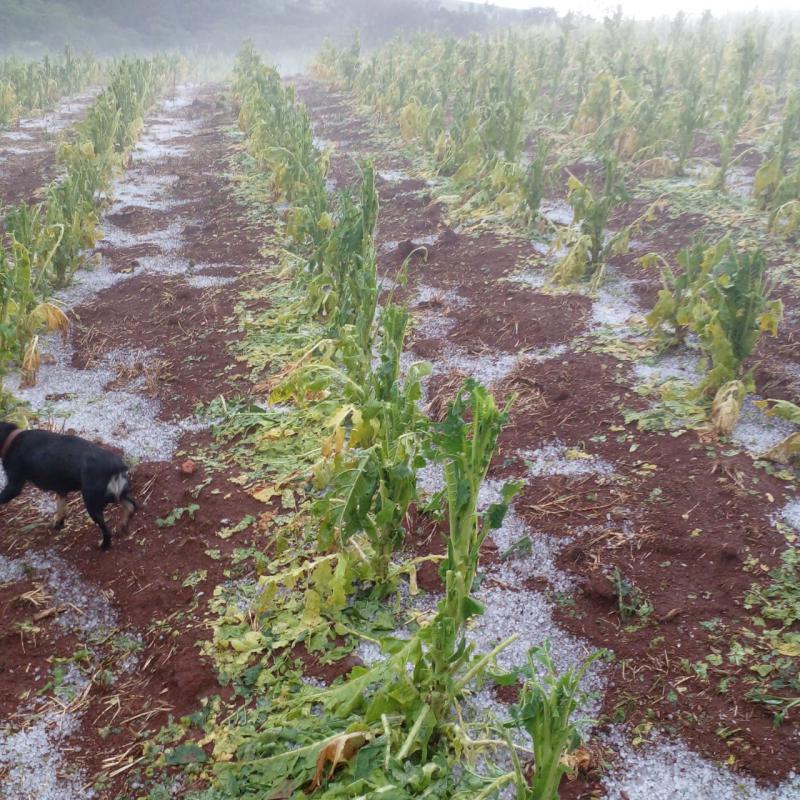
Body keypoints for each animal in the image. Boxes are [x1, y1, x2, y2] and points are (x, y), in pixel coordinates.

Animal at [0, 424, 137, 552]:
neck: (11, 437)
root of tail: (116, 467)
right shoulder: (61, 490)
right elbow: (61, 509)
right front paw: (58, 524)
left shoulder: (13, 486)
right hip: (117, 496)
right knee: (131, 506)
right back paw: (122, 526)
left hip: (93, 504)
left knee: (107, 531)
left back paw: (104, 546)